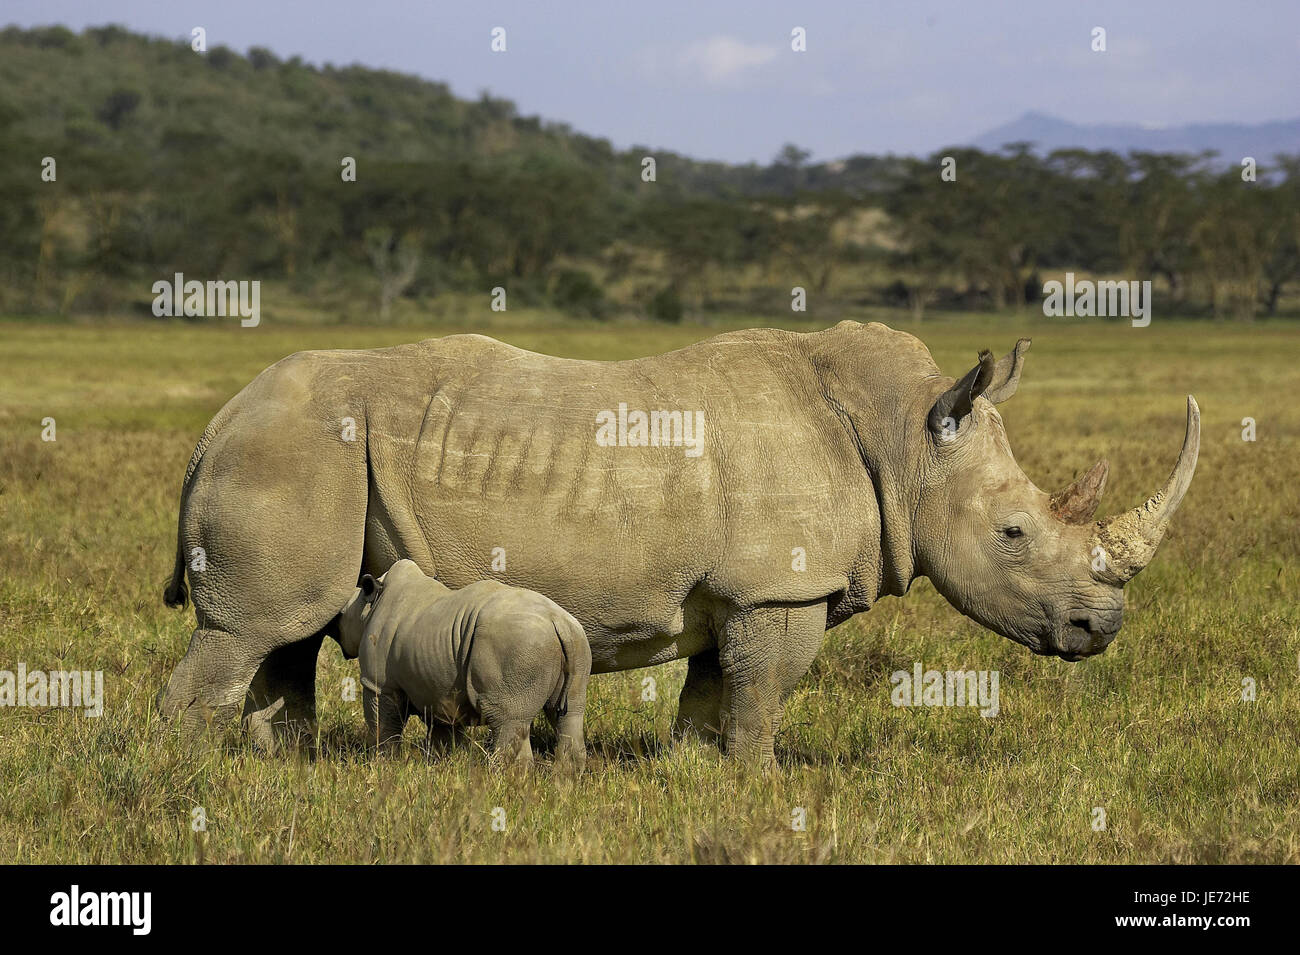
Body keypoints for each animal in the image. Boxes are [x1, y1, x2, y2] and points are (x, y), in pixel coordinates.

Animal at [340, 561, 595, 769]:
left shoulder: (379, 684)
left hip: (520, 644)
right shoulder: (439, 686)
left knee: (509, 720)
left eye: (340, 616)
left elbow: (383, 725)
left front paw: (383, 764)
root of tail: (558, 622)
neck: (371, 603)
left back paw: (504, 780)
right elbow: (444, 731)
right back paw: (564, 781)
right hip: (577, 643)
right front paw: (441, 766)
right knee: (568, 714)